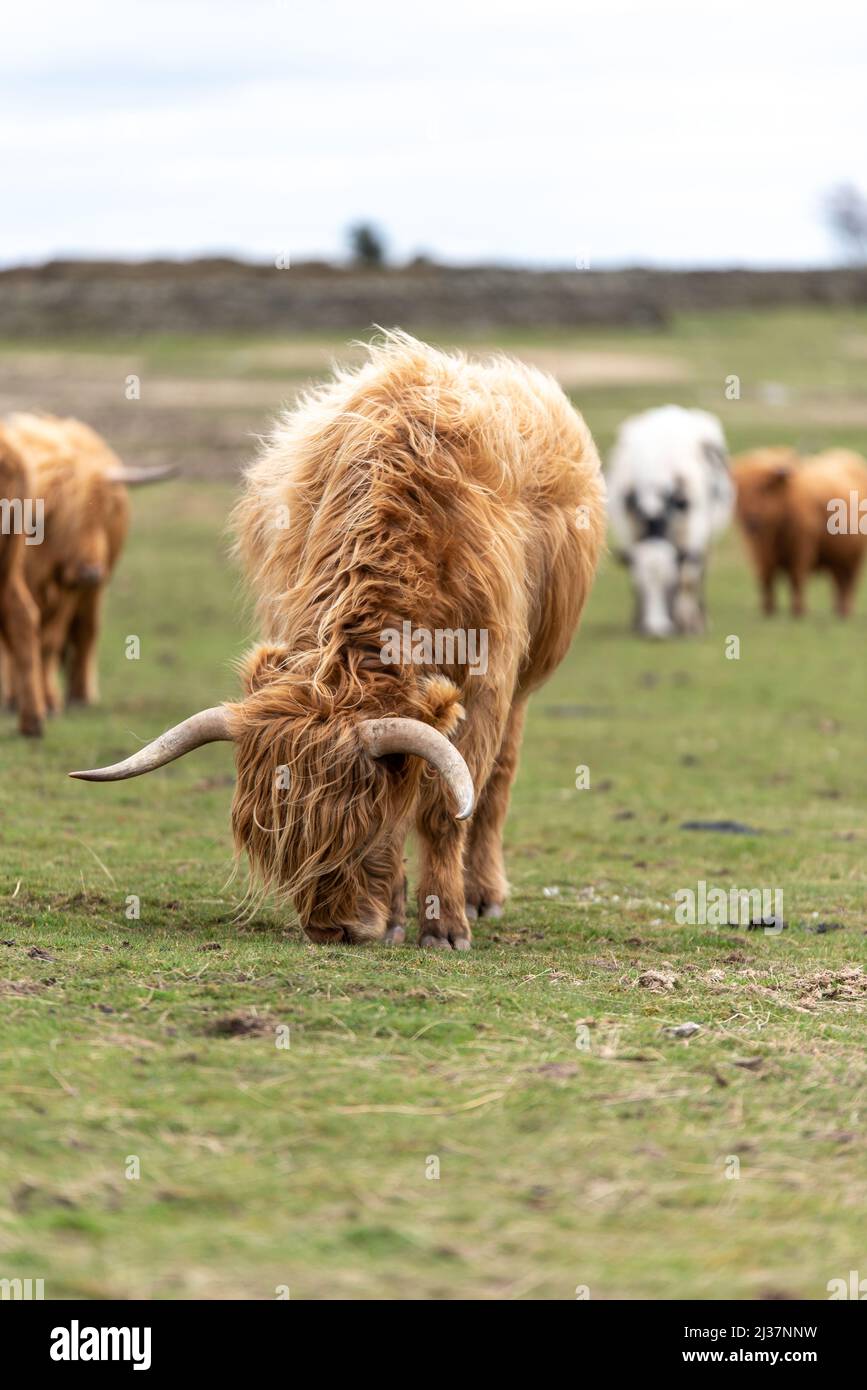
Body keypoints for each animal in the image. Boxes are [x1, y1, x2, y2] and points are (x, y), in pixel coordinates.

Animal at [71, 330, 605, 950]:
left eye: (364, 825)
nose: (334, 929)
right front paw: (396, 917)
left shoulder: (485, 682)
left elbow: (447, 808)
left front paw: (445, 924)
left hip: (529, 675)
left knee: (497, 781)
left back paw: (483, 893)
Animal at [605, 405, 733, 636]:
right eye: (641, 586)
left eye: (670, 586)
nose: (656, 631)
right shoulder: (631, 530)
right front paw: (637, 621)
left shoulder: (693, 532)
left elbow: (688, 579)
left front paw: (688, 624)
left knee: (701, 573)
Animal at [733, 444, 867, 619]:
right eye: (739, 490)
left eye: (764, 487)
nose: (750, 519)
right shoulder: (758, 552)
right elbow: (766, 578)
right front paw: (768, 611)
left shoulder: (801, 550)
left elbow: (796, 578)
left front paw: (798, 611)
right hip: (836, 558)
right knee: (838, 583)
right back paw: (838, 611)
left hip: (854, 558)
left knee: (849, 584)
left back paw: (845, 613)